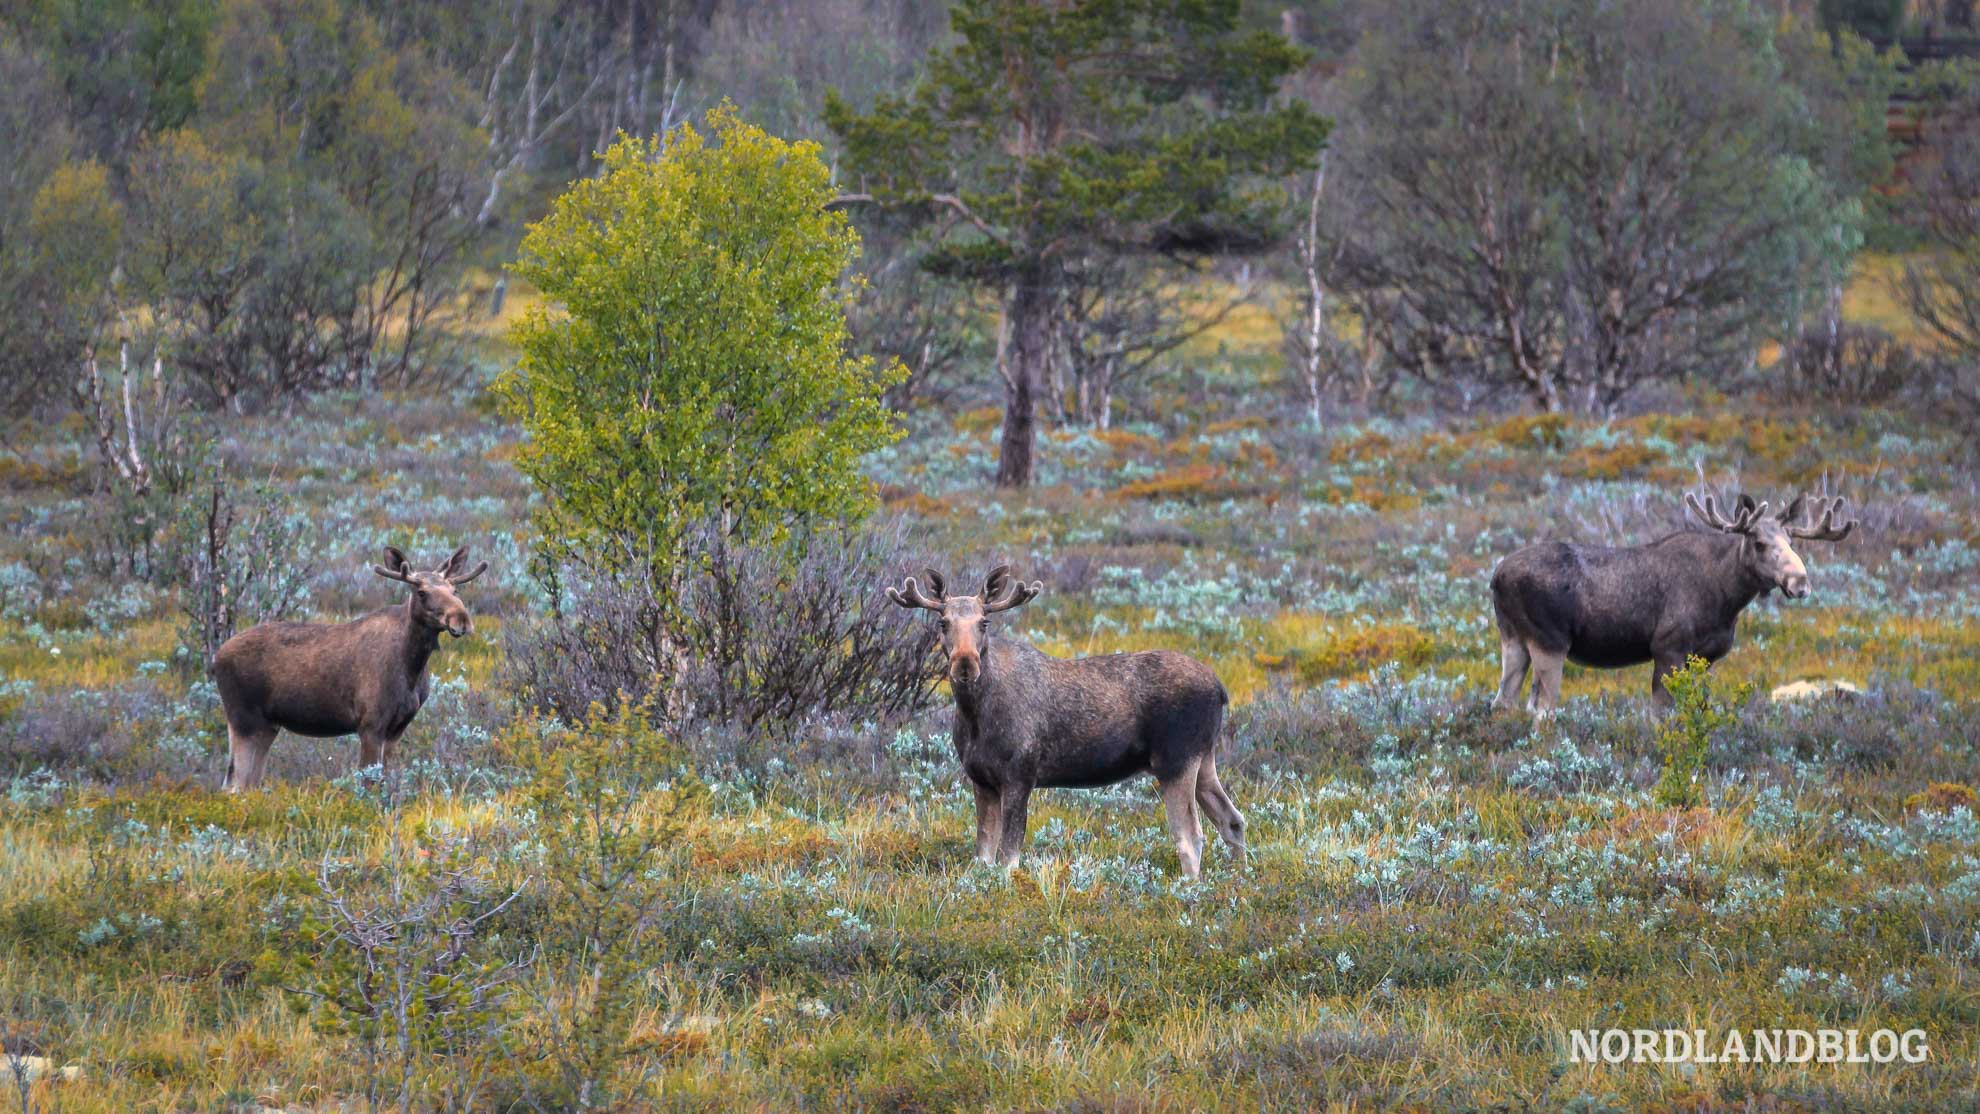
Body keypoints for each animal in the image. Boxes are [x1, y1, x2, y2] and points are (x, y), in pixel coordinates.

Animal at [213, 546, 487, 787]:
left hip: (267, 726)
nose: (461, 619)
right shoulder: (370, 725)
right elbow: (369, 785)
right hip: (244, 720)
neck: (412, 666)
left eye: (454, 589)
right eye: (420, 591)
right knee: (234, 784)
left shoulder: (397, 729)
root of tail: (216, 657)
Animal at [883, 565, 1235, 882]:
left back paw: (1189, 890)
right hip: (1204, 759)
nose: (966, 663)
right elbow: (983, 855)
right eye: (943, 622)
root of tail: (1220, 689)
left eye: (984, 622)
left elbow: (1009, 859)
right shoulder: (981, 780)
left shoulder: (1020, 776)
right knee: (1232, 820)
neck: (975, 714)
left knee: (1191, 837)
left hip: (1176, 761)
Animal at [1496, 494, 1853, 720]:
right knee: (1542, 709)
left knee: (1504, 701)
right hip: (1550, 642)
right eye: (1759, 543)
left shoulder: (1706, 657)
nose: (1800, 582)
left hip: (1514, 640)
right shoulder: (1668, 648)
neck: (1727, 597)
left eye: (1792, 542)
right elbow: (1661, 715)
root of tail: (1496, 577)